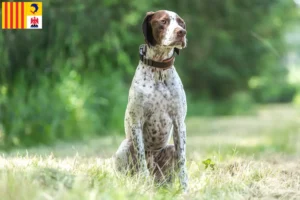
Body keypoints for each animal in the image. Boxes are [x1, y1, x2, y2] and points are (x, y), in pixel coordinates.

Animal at [114, 10, 188, 191]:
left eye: (181, 23)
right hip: (124, 147)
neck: (159, 70)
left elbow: (183, 163)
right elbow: (141, 161)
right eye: (163, 21)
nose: (182, 32)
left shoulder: (179, 123)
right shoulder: (137, 123)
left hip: (170, 151)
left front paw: (185, 190)